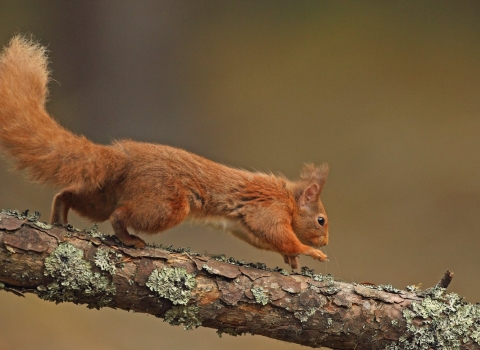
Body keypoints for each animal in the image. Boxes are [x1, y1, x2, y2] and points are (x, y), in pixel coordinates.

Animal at [0, 36, 328, 268]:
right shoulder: (268, 209)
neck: (289, 198)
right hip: (164, 204)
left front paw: (292, 259)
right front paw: (309, 252)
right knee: (119, 215)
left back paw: (59, 218)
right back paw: (129, 239)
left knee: (69, 195)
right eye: (321, 220)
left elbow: (265, 239)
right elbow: (275, 233)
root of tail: (122, 156)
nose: (325, 242)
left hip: (104, 195)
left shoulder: (243, 224)